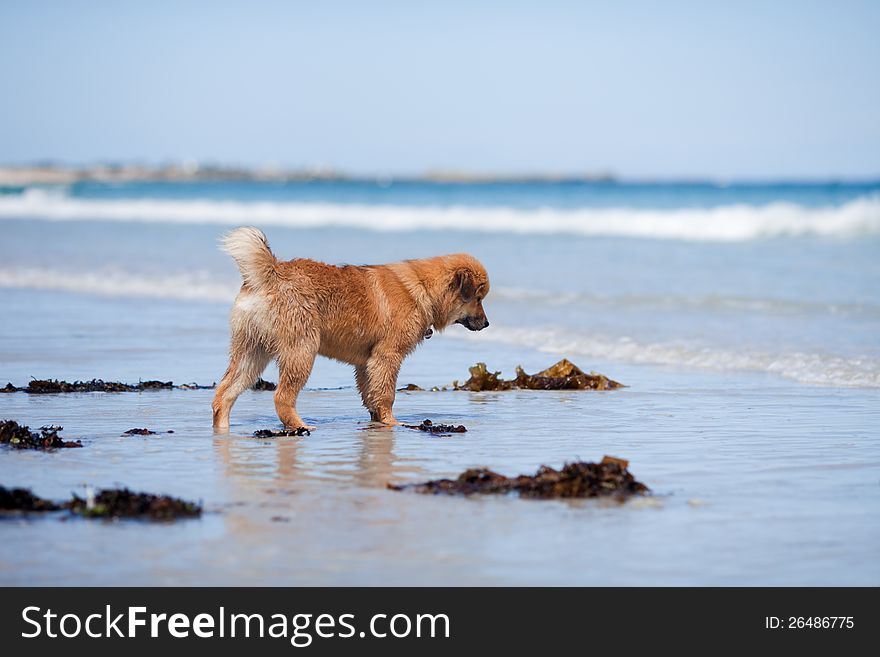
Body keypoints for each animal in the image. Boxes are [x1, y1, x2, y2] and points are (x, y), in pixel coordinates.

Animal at [211, 227, 492, 430]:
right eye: (478, 298)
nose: (487, 323)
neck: (423, 288)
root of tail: (270, 273)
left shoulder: (367, 363)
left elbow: (372, 396)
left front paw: (377, 421)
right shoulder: (387, 357)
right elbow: (386, 394)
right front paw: (392, 423)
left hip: (251, 353)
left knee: (224, 394)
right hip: (301, 351)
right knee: (282, 397)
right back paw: (301, 426)